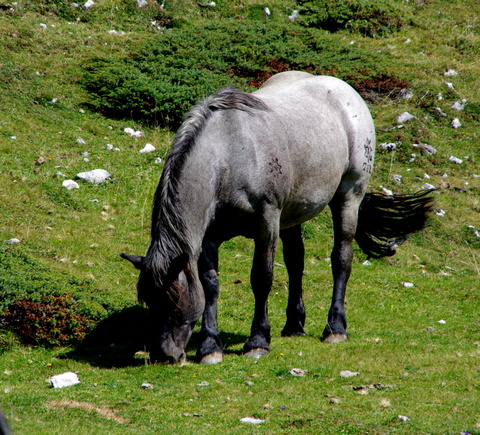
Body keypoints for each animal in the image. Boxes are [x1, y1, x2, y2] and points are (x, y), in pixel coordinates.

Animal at [121, 70, 436, 364]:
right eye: (149, 302)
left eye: (174, 301)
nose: (166, 355)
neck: (230, 154)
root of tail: (345, 90)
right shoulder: (209, 236)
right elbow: (210, 284)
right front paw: (210, 346)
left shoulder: (266, 222)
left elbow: (262, 277)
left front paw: (258, 341)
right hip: (293, 215)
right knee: (296, 261)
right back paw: (294, 325)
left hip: (348, 197)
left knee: (341, 259)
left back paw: (335, 328)